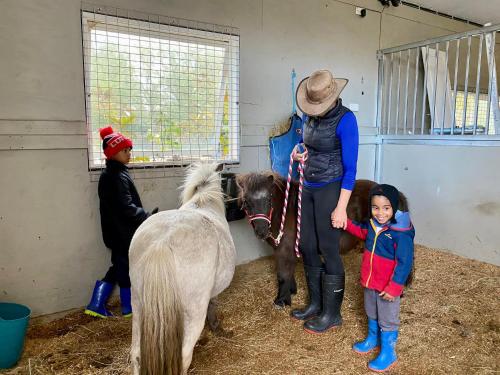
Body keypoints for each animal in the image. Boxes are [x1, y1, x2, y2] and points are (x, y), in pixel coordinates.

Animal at [130, 163, 237, 374]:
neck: (203, 202)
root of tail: (161, 243)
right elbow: (213, 305)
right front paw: (216, 328)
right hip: (193, 313)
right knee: (184, 356)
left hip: (138, 307)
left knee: (136, 355)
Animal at [235, 174, 410, 308]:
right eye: (246, 202)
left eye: (268, 199)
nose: (261, 231)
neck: (285, 212)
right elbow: (288, 273)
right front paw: (291, 291)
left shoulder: (284, 250)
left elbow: (283, 275)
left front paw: (281, 301)